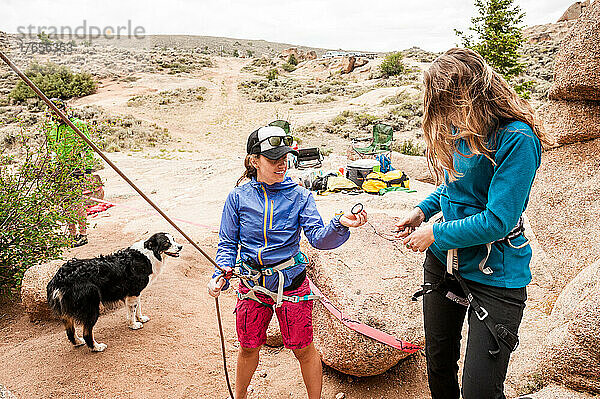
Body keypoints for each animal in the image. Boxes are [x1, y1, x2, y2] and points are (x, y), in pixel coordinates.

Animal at [46, 233, 182, 352]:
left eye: (174, 239)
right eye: (166, 243)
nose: (181, 246)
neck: (148, 255)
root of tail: (59, 279)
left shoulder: (135, 292)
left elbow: (137, 307)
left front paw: (141, 318)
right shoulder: (133, 292)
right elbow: (133, 310)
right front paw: (134, 324)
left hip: (67, 312)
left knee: (70, 331)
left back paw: (78, 342)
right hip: (91, 307)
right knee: (86, 332)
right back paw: (96, 347)